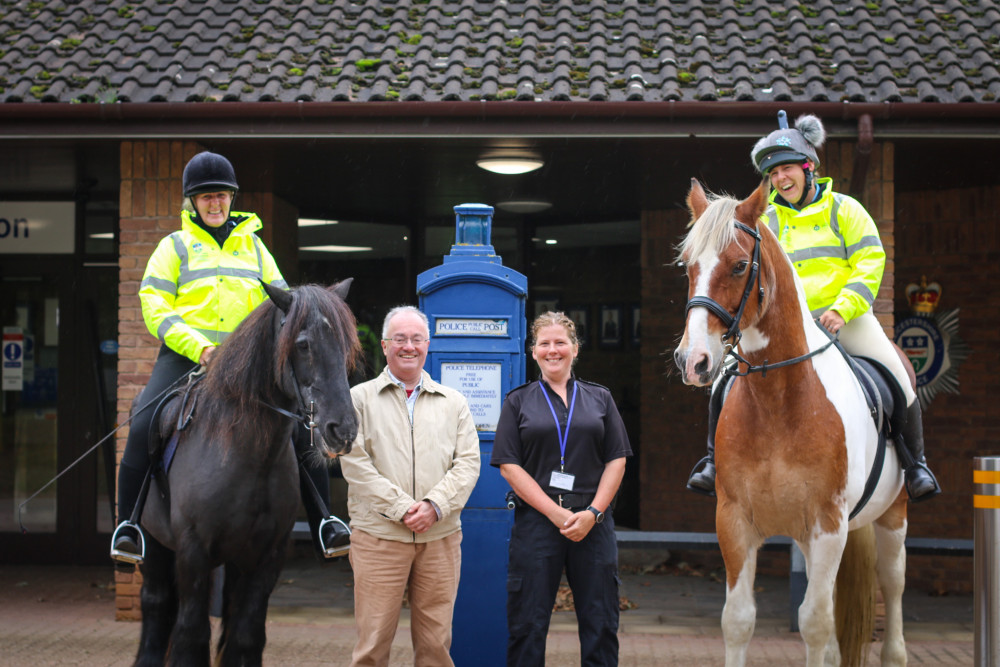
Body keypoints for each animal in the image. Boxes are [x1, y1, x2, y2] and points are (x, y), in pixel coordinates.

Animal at [132, 280, 360, 664]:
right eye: (303, 344)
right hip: (154, 546)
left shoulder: (267, 556)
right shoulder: (194, 552)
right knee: (156, 608)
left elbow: (246, 635)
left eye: (345, 344)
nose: (342, 430)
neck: (248, 458)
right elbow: (191, 636)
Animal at [676, 180, 912, 664]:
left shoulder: (827, 524)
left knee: (893, 583)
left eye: (739, 265)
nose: (693, 361)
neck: (778, 403)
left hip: (892, 516)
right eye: (688, 265)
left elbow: (814, 624)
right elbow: (738, 620)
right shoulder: (734, 521)